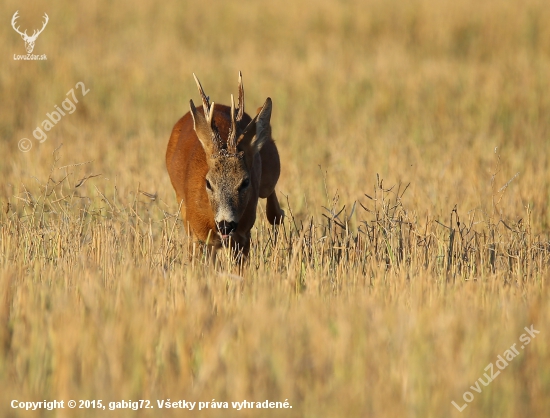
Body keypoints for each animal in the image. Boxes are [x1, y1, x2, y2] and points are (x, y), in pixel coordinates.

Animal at [166, 73, 282, 256]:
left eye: (245, 182)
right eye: (208, 183)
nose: (226, 225)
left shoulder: (242, 237)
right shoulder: (199, 237)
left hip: (270, 172)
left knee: (275, 209)